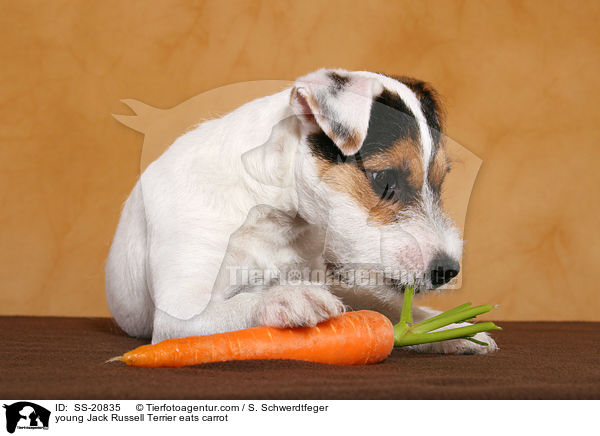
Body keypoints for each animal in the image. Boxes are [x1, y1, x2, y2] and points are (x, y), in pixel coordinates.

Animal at [104, 69, 496, 354]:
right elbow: (240, 304)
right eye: (385, 177)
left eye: (441, 181)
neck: (265, 210)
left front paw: (448, 328)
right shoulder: (180, 313)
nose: (447, 270)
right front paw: (287, 297)